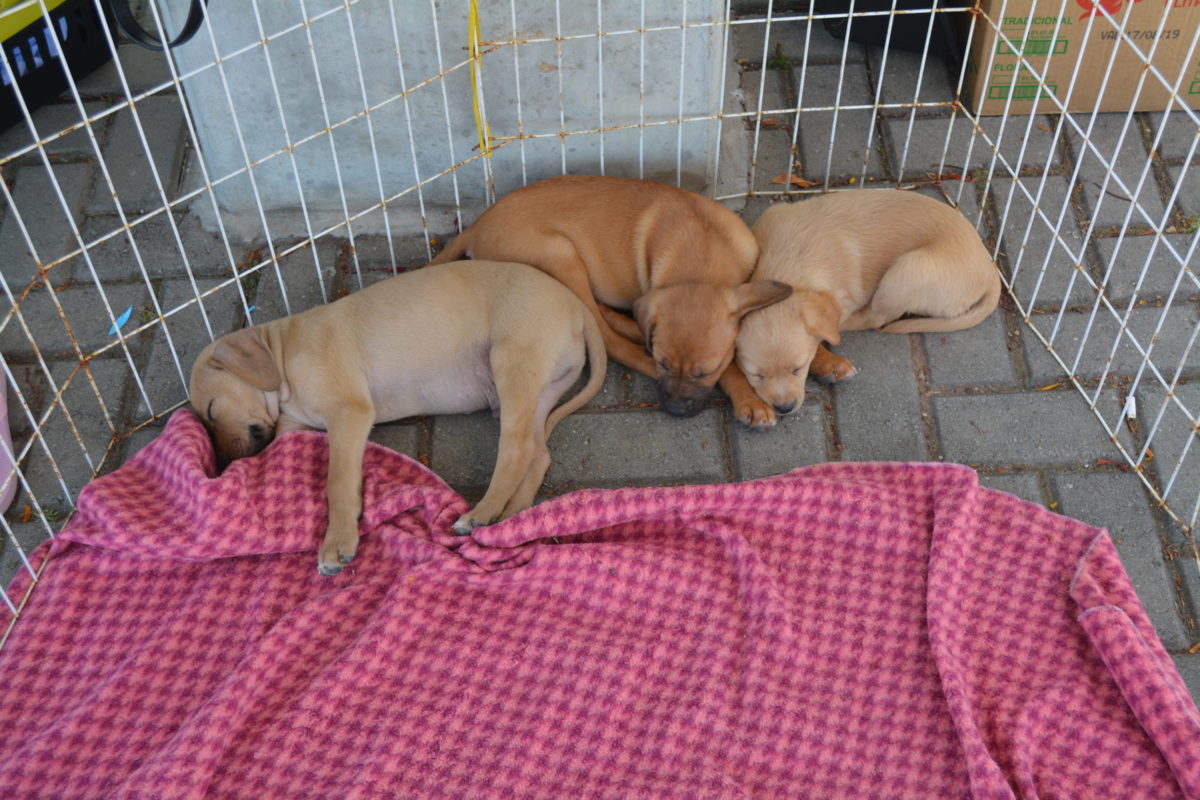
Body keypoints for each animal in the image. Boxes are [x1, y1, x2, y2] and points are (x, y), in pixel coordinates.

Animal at [190, 261, 604, 575]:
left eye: (210, 410)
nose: (223, 464)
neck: (281, 352)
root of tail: (576, 305)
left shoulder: (350, 412)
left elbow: (338, 482)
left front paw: (337, 542)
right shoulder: (299, 425)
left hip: (513, 363)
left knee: (516, 447)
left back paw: (481, 514)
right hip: (540, 389)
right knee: (537, 452)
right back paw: (508, 519)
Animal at [434, 173, 796, 424]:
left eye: (703, 372)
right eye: (664, 364)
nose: (675, 410)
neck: (701, 255)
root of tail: (476, 227)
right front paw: (750, 400)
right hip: (560, 254)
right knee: (608, 339)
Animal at [734, 190, 998, 417]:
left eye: (798, 369)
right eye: (756, 375)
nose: (784, 408)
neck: (791, 261)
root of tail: (990, 268)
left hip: (905, 272)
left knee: (877, 318)